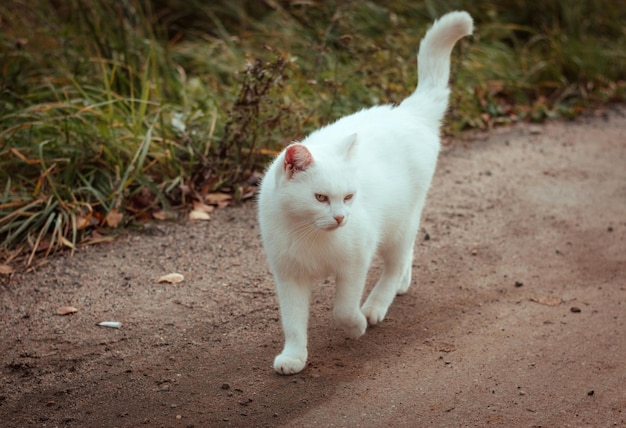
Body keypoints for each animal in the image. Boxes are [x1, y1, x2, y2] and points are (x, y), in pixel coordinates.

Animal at [256, 9, 470, 372]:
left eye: (348, 197)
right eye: (320, 198)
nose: (341, 218)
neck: (310, 235)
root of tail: (407, 111)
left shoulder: (357, 259)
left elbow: (343, 308)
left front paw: (356, 325)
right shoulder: (289, 276)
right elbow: (293, 320)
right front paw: (294, 356)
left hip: (400, 222)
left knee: (397, 261)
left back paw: (376, 304)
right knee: (407, 255)